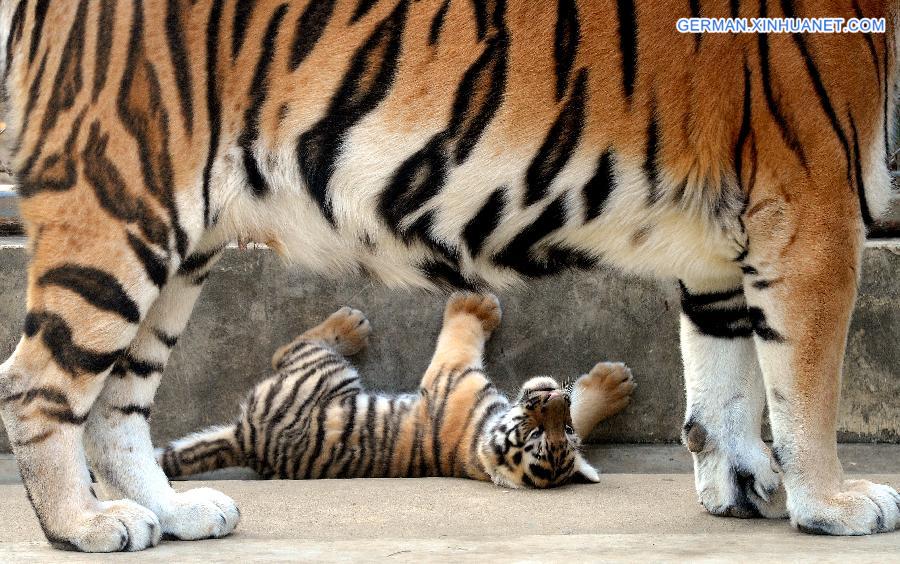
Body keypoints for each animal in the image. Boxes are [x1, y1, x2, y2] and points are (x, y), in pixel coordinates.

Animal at [0, 0, 896, 552]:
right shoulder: (814, 207)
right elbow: (805, 387)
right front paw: (836, 505)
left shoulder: (721, 244)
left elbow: (726, 381)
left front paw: (742, 489)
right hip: (119, 207)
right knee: (36, 382)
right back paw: (82, 526)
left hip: (180, 247)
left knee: (116, 403)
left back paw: (173, 514)